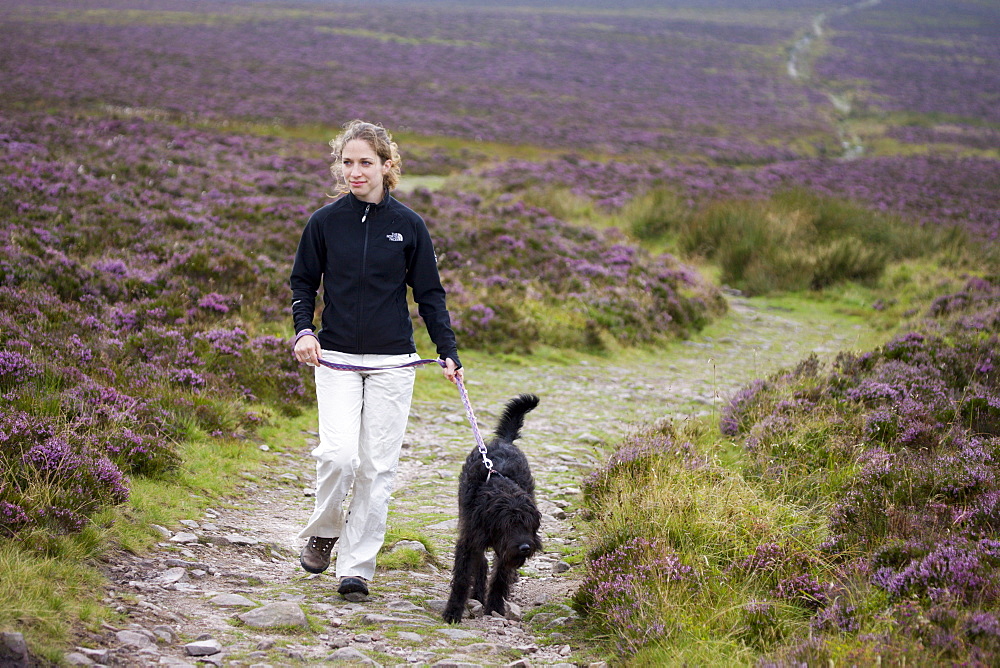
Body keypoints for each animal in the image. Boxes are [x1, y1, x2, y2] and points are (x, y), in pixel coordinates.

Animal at [442, 394, 544, 624]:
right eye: (508, 525)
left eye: (529, 525)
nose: (525, 547)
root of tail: (504, 441)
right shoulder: (470, 539)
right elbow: (462, 578)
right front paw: (453, 611)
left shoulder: (506, 549)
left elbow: (500, 576)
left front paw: (495, 607)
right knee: (480, 564)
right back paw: (478, 593)